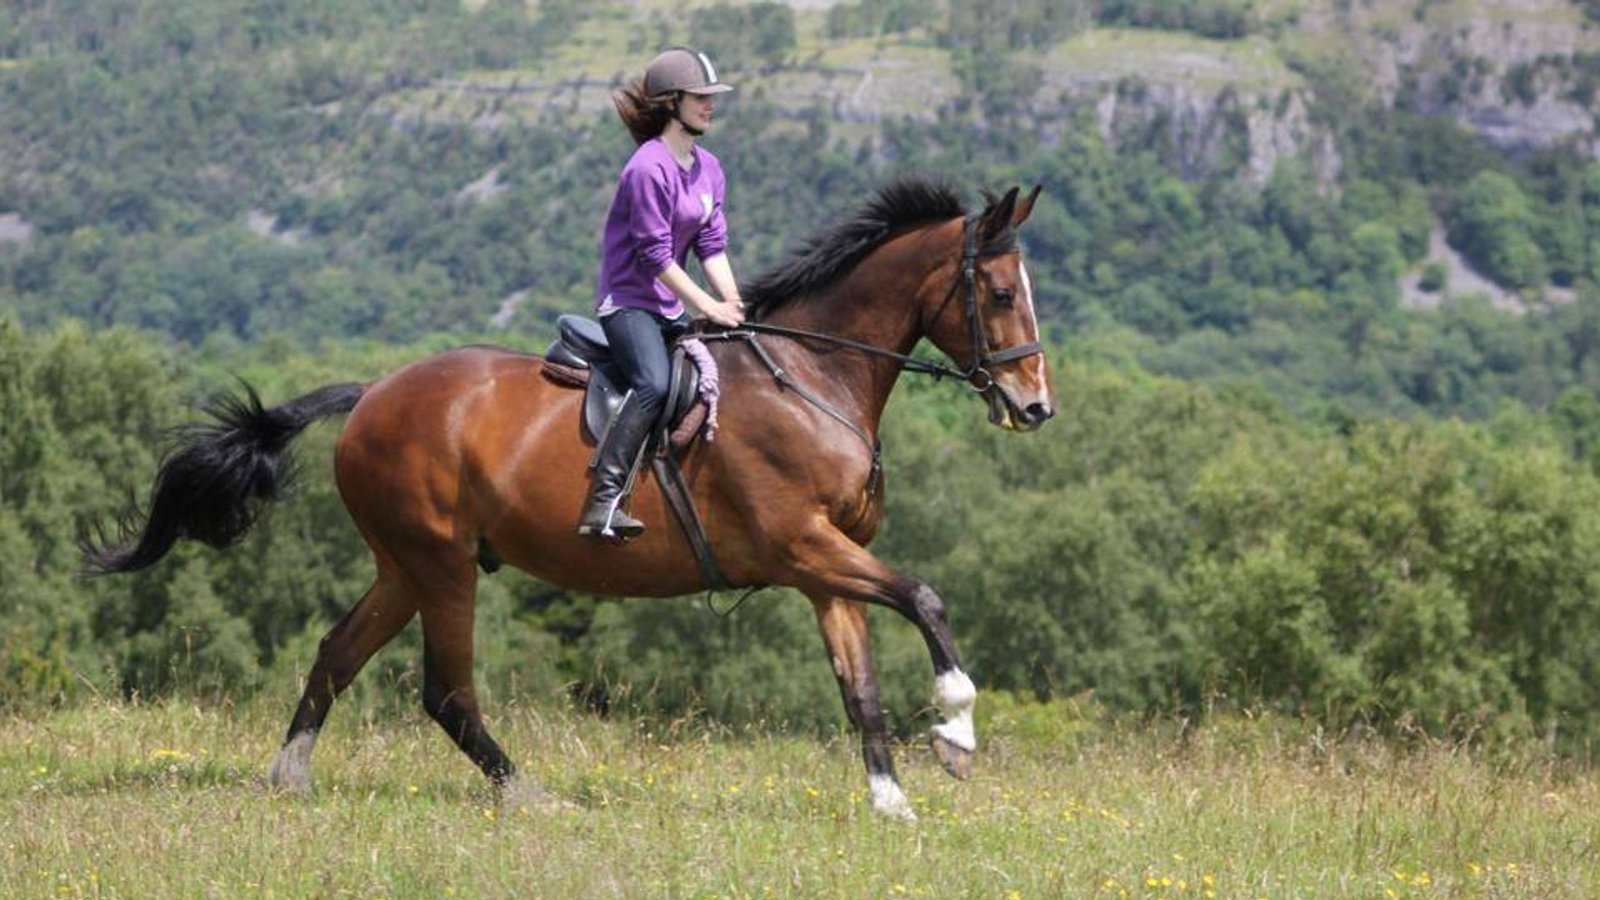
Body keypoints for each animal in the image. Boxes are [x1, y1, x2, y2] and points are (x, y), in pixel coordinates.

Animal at [87, 175, 1056, 820]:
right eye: (1000, 291)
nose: (1035, 406)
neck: (813, 374)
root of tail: (370, 395)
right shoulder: (802, 546)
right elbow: (925, 597)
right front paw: (958, 732)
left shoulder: (827, 569)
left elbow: (860, 686)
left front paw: (892, 802)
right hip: (441, 565)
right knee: (446, 692)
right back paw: (533, 797)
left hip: (405, 565)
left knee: (337, 653)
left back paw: (290, 779)